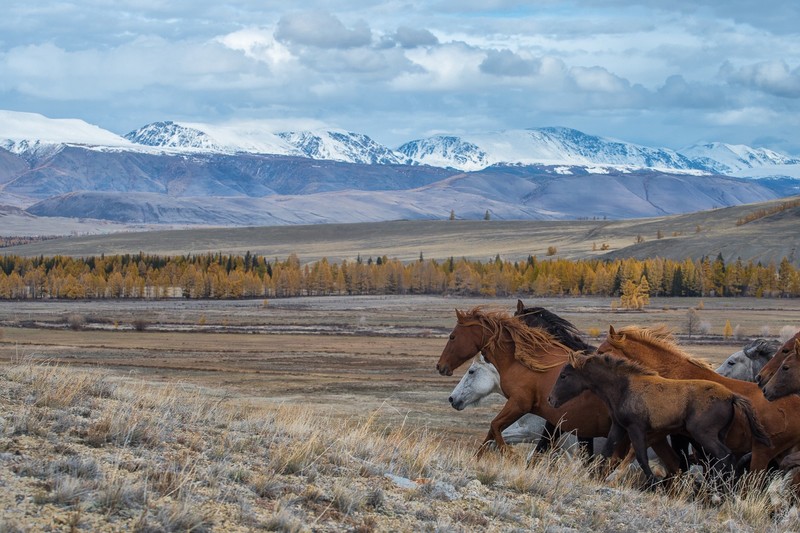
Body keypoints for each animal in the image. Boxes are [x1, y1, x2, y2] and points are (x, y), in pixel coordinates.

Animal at [436, 307, 616, 459]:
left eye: (471, 371)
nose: (440, 366)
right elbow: (493, 433)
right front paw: (480, 457)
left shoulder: (523, 412)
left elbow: (496, 429)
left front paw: (511, 456)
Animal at [547, 352, 770, 488]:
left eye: (564, 376)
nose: (551, 399)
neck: (625, 387)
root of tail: (731, 396)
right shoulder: (619, 427)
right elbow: (607, 451)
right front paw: (593, 476)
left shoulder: (636, 428)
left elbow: (640, 456)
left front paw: (653, 484)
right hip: (717, 435)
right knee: (718, 460)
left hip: (704, 434)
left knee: (726, 457)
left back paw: (719, 492)